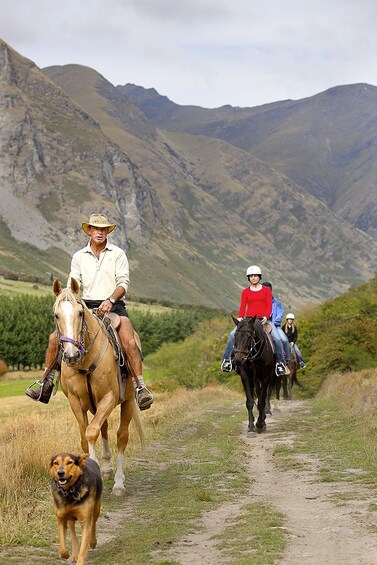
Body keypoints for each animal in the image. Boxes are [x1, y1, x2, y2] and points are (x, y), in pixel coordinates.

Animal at [51, 278, 142, 494]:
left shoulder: (109, 397)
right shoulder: (76, 402)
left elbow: (91, 432)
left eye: (80, 313)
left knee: (121, 436)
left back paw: (118, 482)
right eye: (56, 315)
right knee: (104, 428)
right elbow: (85, 437)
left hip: (128, 402)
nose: (71, 354)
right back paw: (107, 469)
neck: (85, 363)